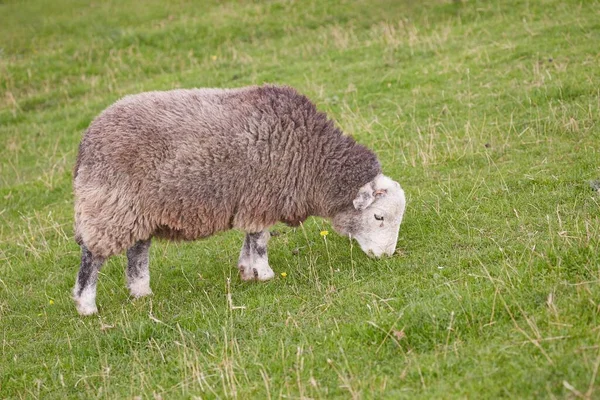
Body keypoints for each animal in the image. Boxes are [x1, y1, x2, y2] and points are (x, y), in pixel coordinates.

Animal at [72, 85, 406, 316]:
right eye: (378, 217)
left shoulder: (252, 200)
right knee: (92, 257)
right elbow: (260, 240)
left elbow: (250, 238)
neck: (313, 159)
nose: (385, 256)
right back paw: (86, 305)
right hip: (110, 206)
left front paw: (247, 272)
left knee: (138, 251)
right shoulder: (261, 197)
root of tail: (87, 140)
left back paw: (141, 292)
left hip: (139, 210)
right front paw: (265, 274)